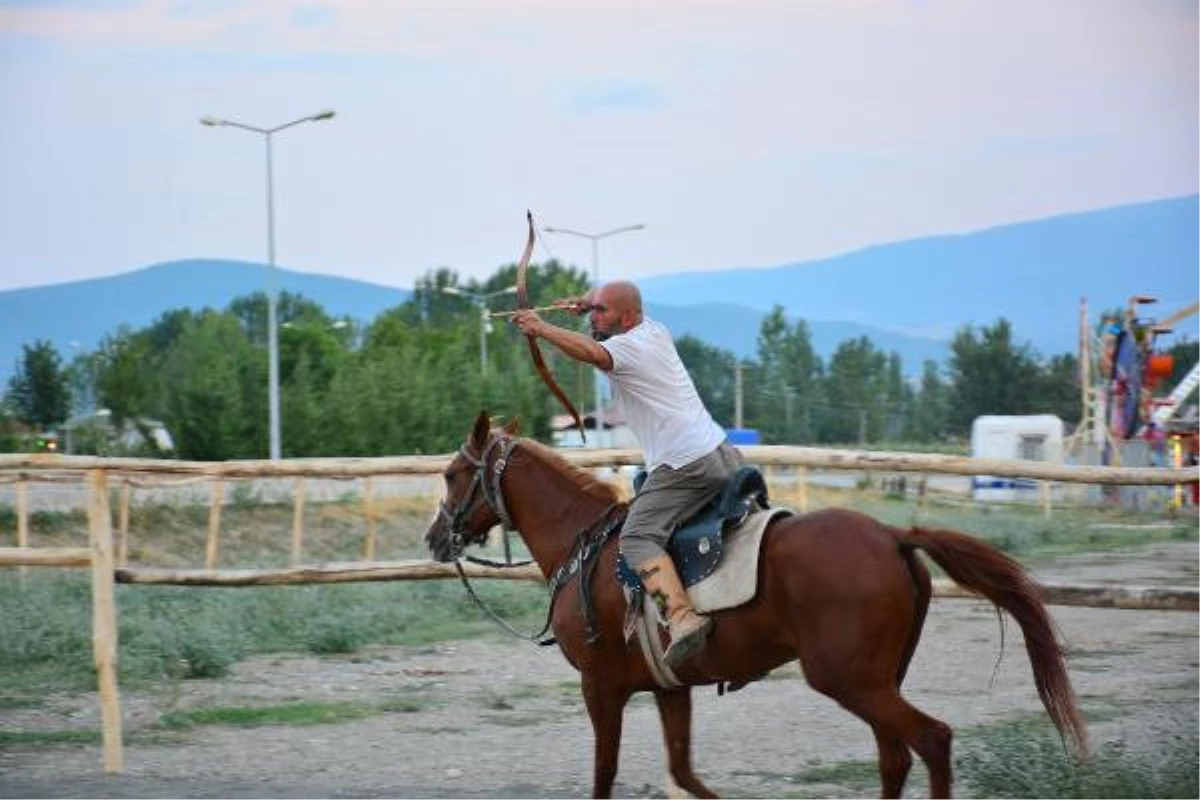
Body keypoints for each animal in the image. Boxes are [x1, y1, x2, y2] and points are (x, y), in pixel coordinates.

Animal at [424, 417, 1089, 796]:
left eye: (454, 473)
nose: (435, 537)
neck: (584, 543)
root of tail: (893, 537)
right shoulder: (669, 689)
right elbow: (685, 773)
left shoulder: (601, 687)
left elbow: (606, 773)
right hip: (876, 681)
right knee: (894, 757)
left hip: (850, 680)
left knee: (932, 741)